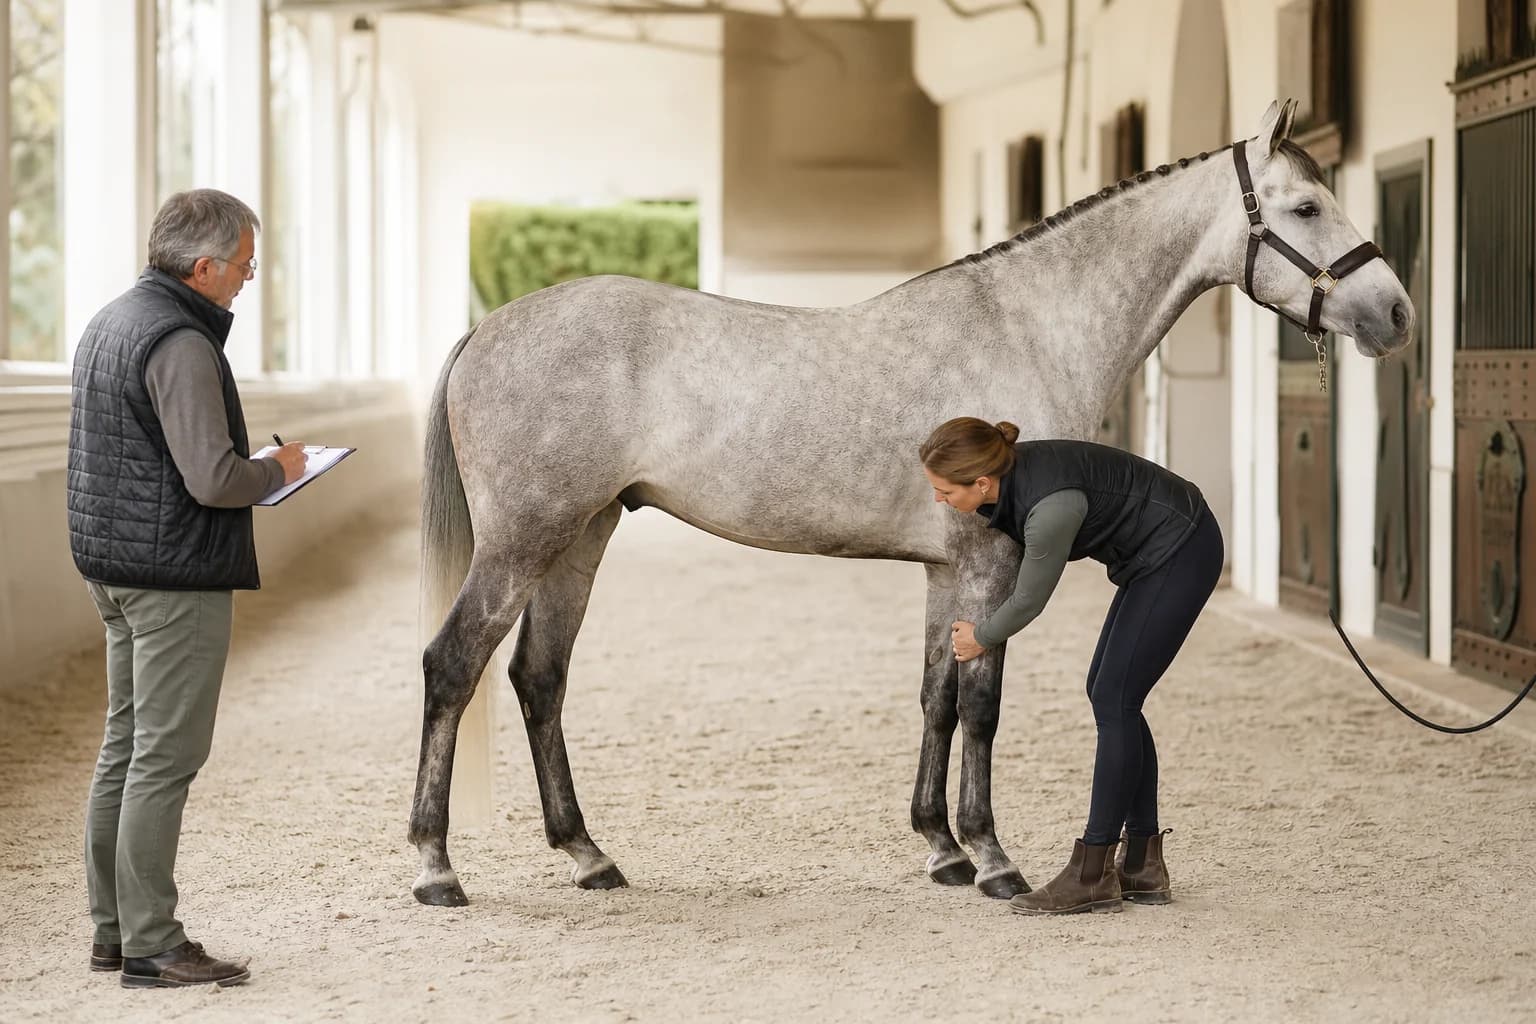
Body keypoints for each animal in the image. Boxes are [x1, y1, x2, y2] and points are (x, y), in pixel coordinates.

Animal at [407, 100, 1414, 906]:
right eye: (1306, 207)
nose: (1397, 312)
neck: (1023, 326)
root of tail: (487, 329)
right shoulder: (994, 562)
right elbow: (983, 707)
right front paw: (995, 860)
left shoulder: (946, 571)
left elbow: (936, 698)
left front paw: (942, 850)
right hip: (525, 541)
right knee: (453, 666)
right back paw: (435, 868)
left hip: (582, 536)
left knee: (539, 679)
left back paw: (590, 856)